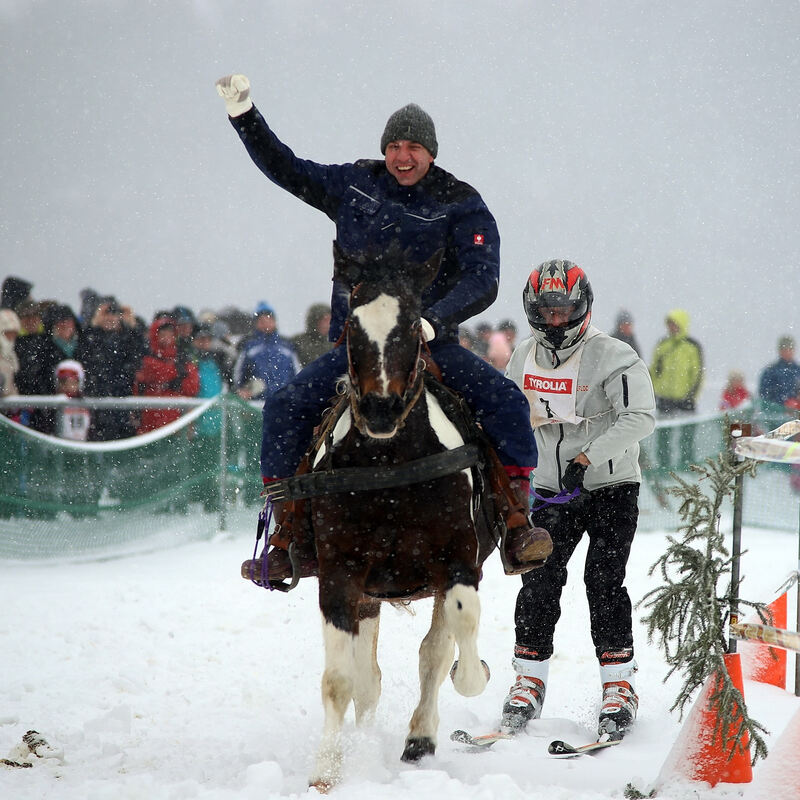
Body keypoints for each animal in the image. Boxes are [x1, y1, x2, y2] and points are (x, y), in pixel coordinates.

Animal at [300, 242, 496, 788]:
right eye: (351, 324)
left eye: (412, 323)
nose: (380, 409)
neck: (390, 462)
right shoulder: (340, 573)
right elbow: (339, 680)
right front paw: (326, 770)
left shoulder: (458, 559)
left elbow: (454, 642)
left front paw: (472, 676)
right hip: (369, 593)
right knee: (369, 681)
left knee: (435, 651)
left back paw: (420, 737)